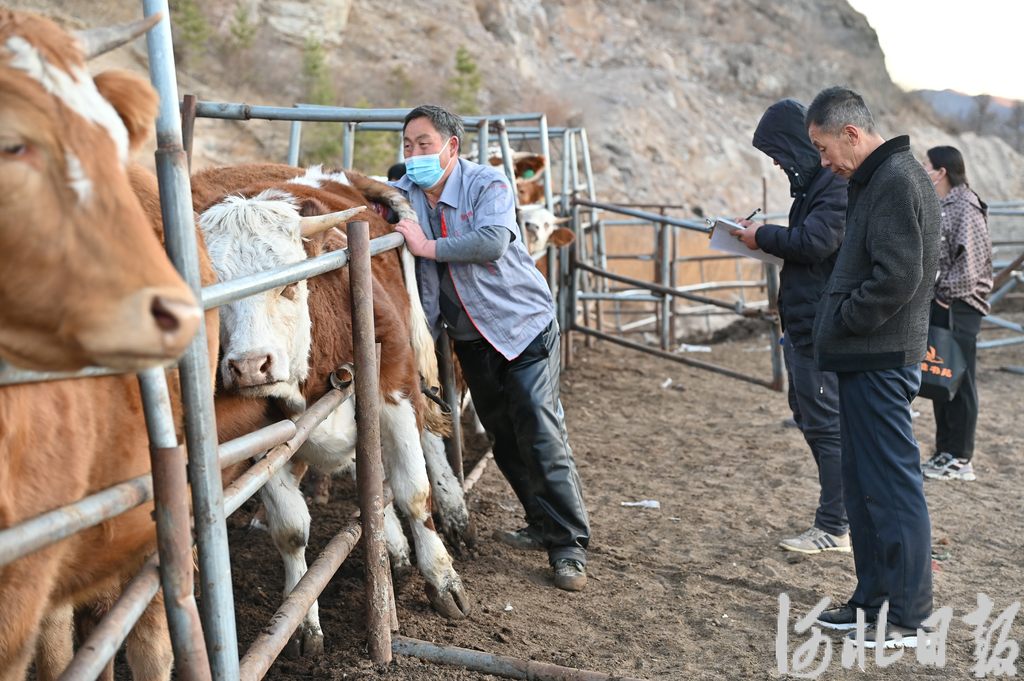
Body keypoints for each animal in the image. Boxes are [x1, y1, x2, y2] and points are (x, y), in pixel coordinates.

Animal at [195, 163, 472, 656]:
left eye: (289, 285)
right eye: (216, 300)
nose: (249, 366)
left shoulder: (393, 389)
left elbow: (412, 490)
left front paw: (443, 580)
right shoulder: (260, 438)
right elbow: (291, 530)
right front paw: (302, 620)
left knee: (425, 449)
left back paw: (452, 513)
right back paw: (392, 547)